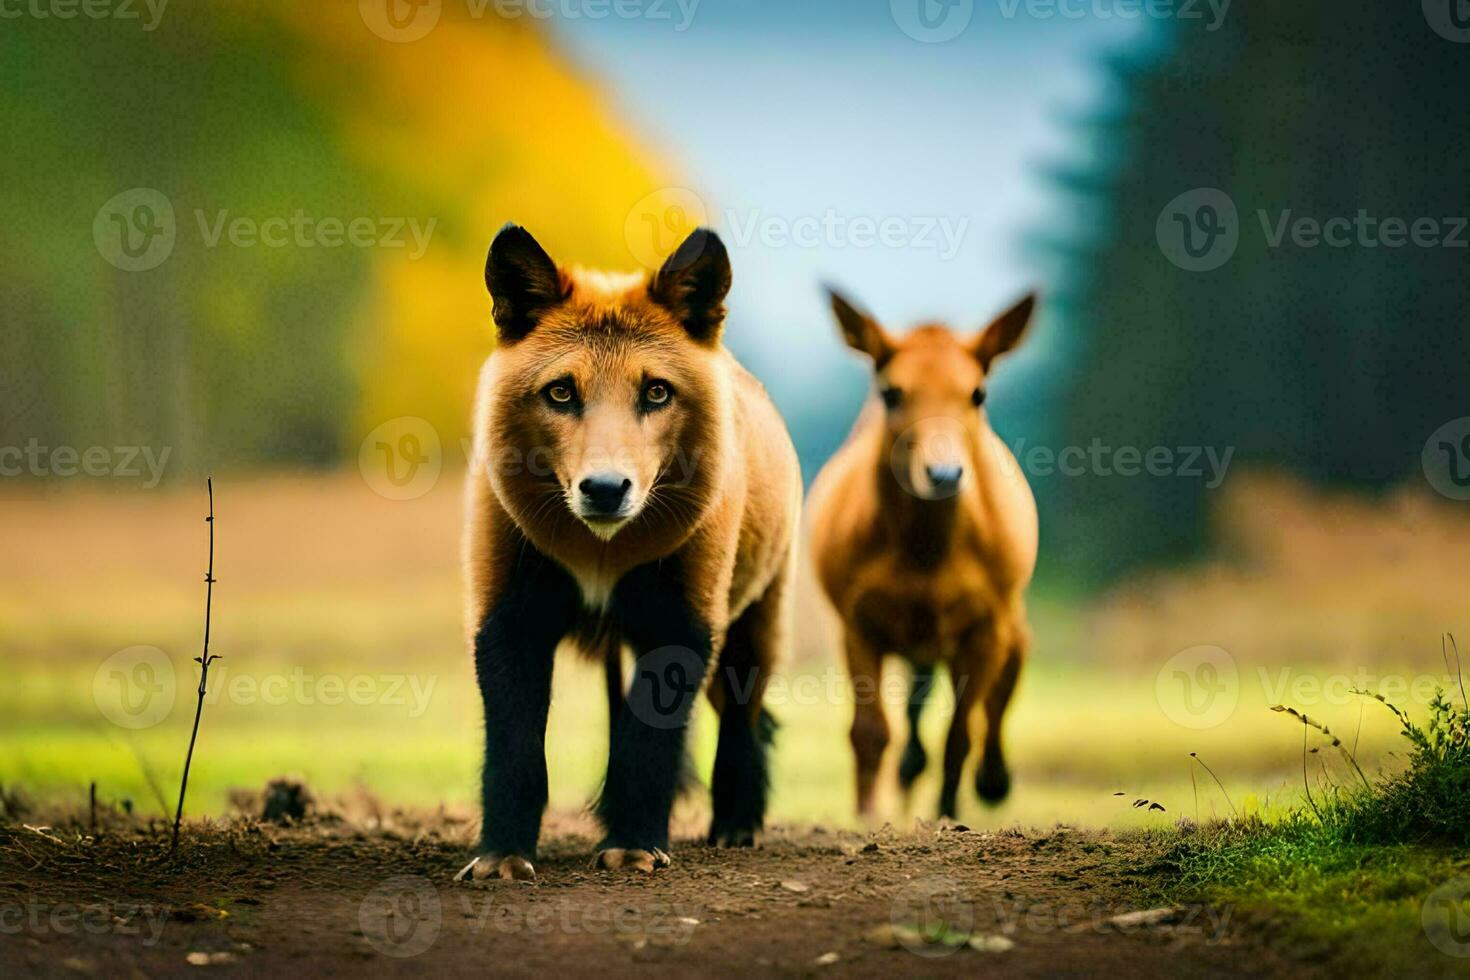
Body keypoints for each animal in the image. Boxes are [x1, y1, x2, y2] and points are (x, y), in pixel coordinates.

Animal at [461, 227, 799, 881]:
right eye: (561, 391)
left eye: (657, 391)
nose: (604, 488)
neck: (602, 559)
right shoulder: (508, 618)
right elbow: (515, 750)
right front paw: (503, 855)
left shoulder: (682, 624)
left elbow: (648, 748)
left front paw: (635, 846)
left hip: (754, 629)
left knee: (744, 722)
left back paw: (735, 825)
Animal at [811, 289, 1040, 822]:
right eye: (892, 393)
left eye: (978, 394)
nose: (943, 474)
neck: (926, 551)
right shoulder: (858, 620)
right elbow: (870, 730)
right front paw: (867, 813)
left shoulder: (988, 624)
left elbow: (961, 732)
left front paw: (949, 811)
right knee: (915, 702)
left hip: (1008, 623)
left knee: (997, 696)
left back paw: (991, 780)